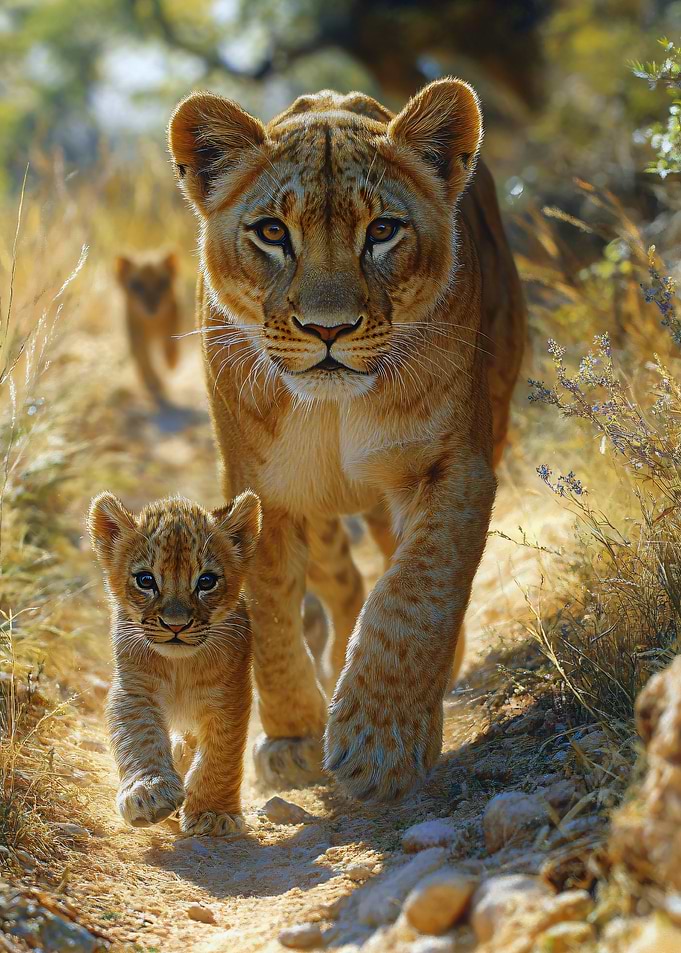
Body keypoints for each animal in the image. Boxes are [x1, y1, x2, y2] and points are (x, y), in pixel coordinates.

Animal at [168, 79, 526, 801]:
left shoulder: (456, 465)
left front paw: (379, 741)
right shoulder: (259, 489)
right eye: (272, 232)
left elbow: (420, 588)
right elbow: (271, 615)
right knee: (339, 577)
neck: (333, 409)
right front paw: (293, 737)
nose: (327, 328)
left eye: (382, 231)